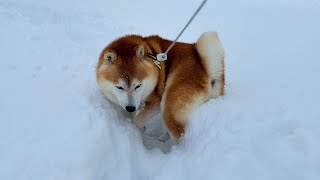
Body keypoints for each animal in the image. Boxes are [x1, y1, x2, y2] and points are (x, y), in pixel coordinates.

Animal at [96, 31, 224, 143]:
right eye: (119, 87)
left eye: (138, 86)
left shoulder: (155, 103)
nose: (131, 108)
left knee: (178, 135)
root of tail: (206, 72)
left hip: (168, 104)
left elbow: (136, 121)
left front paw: (136, 129)